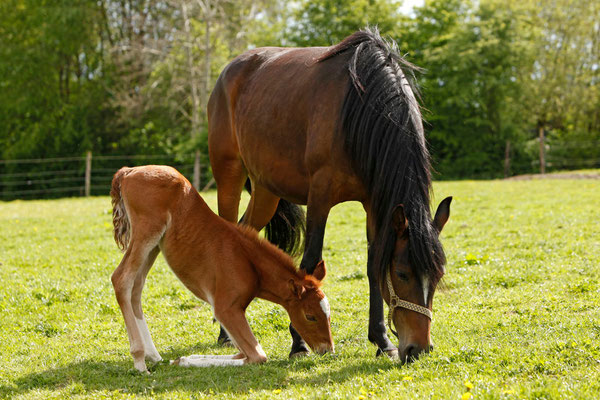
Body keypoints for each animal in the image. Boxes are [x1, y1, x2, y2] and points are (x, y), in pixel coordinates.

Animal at [110, 165, 336, 372]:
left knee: (136, 286)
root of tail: (128, 171)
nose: (327, 350)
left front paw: (182, 359)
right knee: (121, 279)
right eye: (310, 316)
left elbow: (241, 354)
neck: (249, 263)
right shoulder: (226, 308)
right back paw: (140, 360)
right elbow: (257, 356)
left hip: (155, 245)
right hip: (147, 233)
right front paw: (183, 361)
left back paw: (154, 355)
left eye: (328, 314)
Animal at [209, 28, 452, 362]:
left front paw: (381, 340)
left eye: (438, 275)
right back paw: (225, 333)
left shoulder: (374, 204)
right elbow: (309, 263)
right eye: (403, 274)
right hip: (229, 175)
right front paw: (298, 343)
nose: (419, 349)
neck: (358, 110)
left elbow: (373, 263)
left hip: (266, 190)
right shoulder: (320, 195)